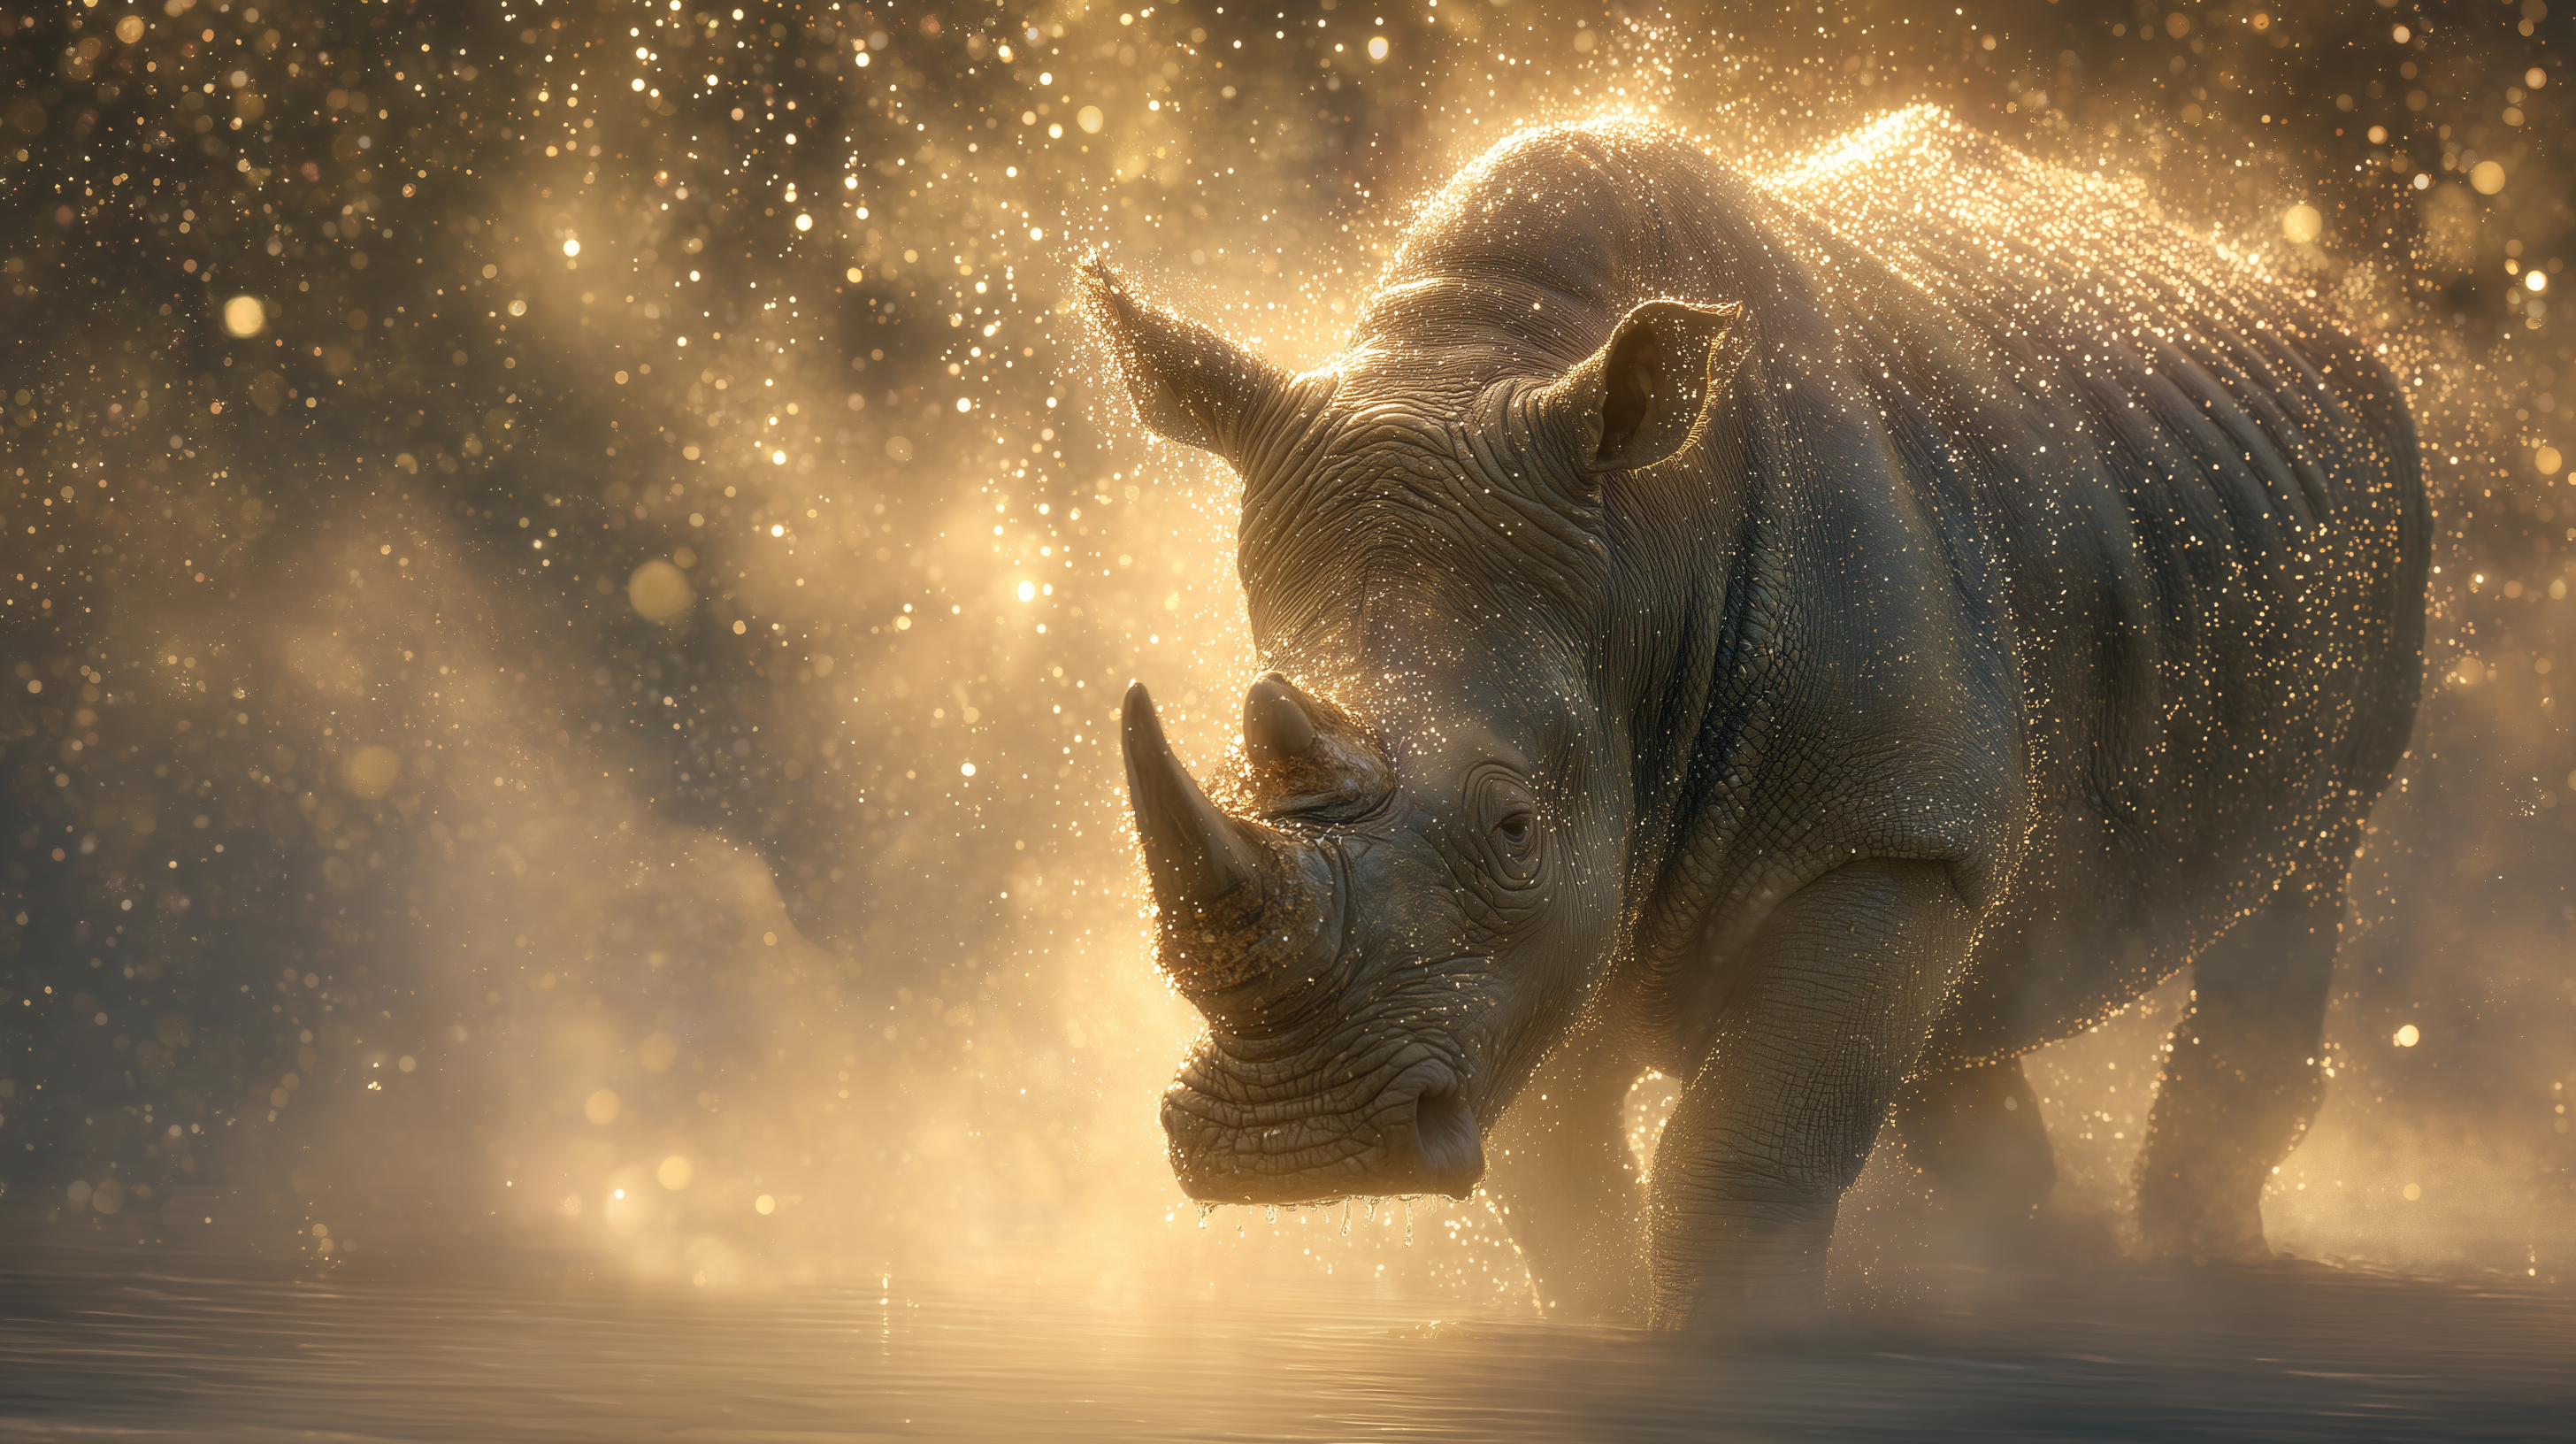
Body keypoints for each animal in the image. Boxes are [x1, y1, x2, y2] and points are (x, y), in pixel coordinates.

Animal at [1085, 111, 2427, 1330]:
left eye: (1515, 829)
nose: (1286, 1142)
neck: (1638, 553)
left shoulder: (1876, 829)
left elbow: (1745, 1142)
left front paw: (1735, 1340)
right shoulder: (1588, 883)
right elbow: (1562, 1168)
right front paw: (1603, 1323)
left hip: (2381, 474)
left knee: (2312, 867)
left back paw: (2193, 1266)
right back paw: (2027, 1259)